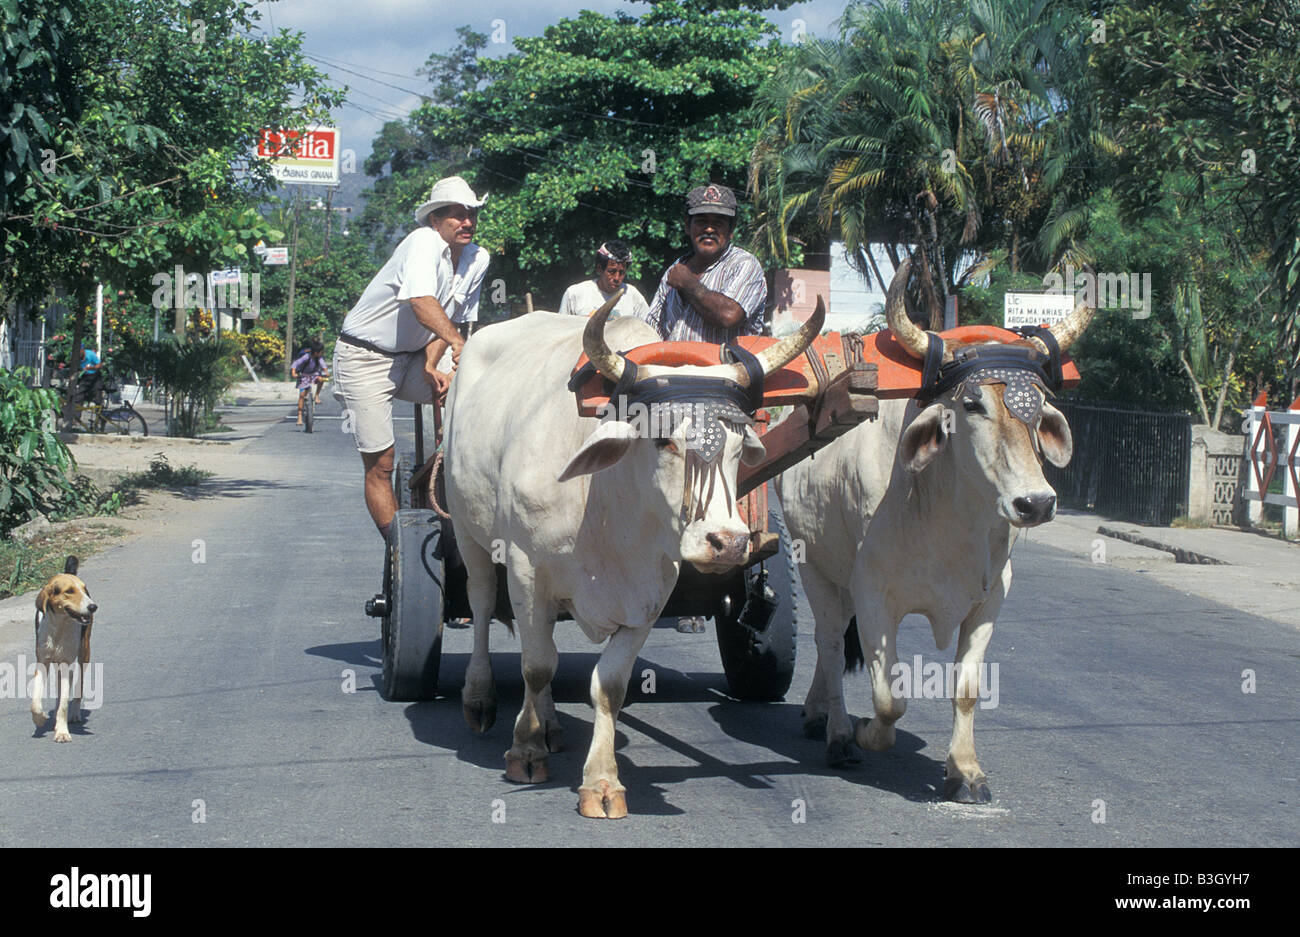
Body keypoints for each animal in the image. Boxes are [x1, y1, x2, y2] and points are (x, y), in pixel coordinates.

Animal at [32, 556, 96, 738]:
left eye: (84, 589)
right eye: (69, 591)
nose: (93, 607)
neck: (59, 626)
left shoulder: (67, 662)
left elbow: (64, 704)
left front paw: (61, 732)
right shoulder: (42, 661)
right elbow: (36, 698)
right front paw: (39, 718)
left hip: (84, 652)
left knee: (78, 683)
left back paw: (74, 713)